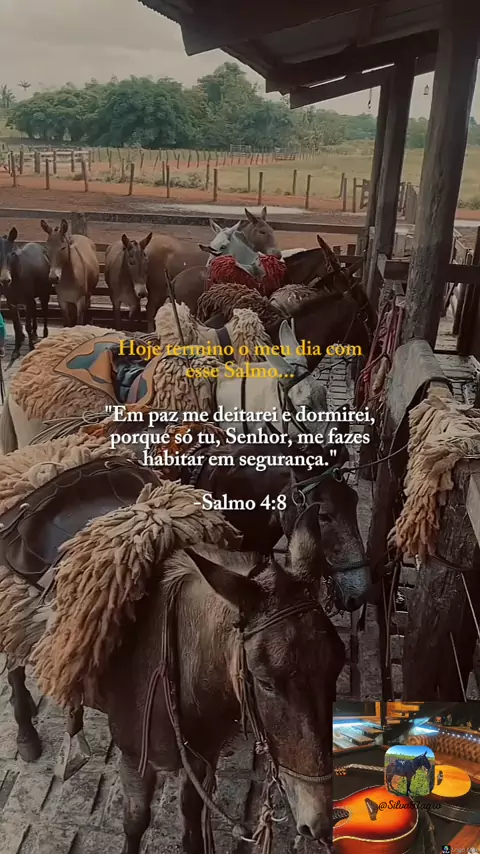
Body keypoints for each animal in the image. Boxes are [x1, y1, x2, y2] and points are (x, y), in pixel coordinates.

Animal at [0, 229, 51, 361]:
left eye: (12, 253)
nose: (5, 280)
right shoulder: (12, 303)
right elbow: (17, 326)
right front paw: (16, 351)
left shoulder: (27, 300)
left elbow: (27, 325)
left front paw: (31, 348)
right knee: (34, 311)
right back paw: (34, 335)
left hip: (44, 293)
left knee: (44, 312)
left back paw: (44, 334)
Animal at [31, 482, 345, 852]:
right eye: (266, 681)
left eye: (337, 666)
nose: (321, 820)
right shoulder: (134, 759)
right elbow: (135, 822)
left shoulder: (202, 756)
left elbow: (191, 815)